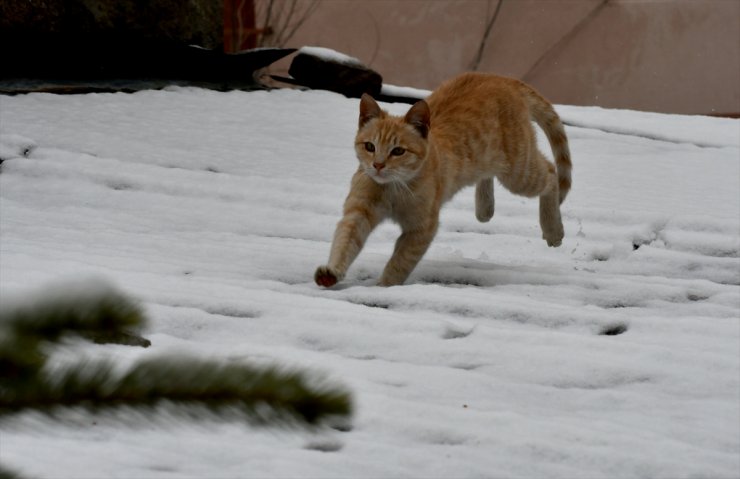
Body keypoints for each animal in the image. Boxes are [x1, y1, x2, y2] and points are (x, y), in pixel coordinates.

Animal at [312, 72, 572, 288]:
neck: (393, 189)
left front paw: (384, 286)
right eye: (369, 146)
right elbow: (345, 243)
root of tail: (501, 77)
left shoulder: (422, 229)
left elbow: (399, 263)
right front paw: (332, 272)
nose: (377, 165)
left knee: (551, 173)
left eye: (398, 151)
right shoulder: (358, 213)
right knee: (487, 175)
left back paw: (553, 230)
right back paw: (485, 208)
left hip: (518, 172)